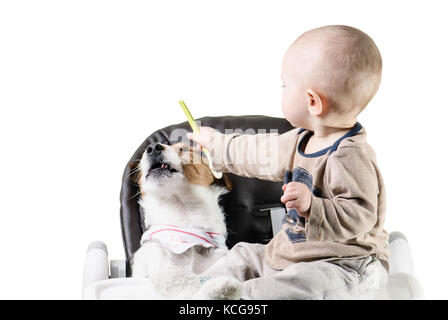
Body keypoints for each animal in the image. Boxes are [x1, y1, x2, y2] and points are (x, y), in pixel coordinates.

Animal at [131, 141, 243, 298]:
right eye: (143, 154)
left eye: (184, 149)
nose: (152, 147)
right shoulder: (158, 258)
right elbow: (180, 279)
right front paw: (218, 288)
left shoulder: (220, 257)